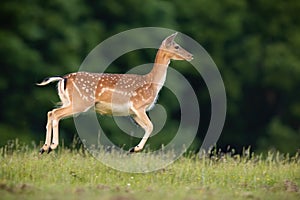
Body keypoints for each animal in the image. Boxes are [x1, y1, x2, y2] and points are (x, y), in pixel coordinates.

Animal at [37, 32, 192, 155]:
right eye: (176, 46)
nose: (191, 55)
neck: (152, 84)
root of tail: (63, 78)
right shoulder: (138, 106)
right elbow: (151, 126)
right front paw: (135, 149)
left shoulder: (133, 113)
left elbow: (147, 127)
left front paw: (134, 149)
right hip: (80, 102)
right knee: (55, 114)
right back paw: (52, 146)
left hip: (68, 101)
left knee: (51, 113)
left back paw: (44, 148)